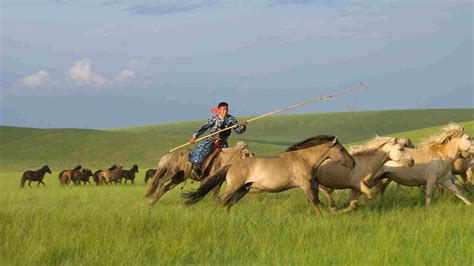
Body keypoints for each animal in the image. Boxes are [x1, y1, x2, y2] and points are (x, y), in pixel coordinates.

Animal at [183, 135, 354, 216]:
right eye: (341, 149)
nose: (353, 163)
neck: (303, 159)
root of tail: (232, 165)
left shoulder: (312, 182)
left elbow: (322, 194)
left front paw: (332, 208)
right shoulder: (305, 183)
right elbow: (314, 200)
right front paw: (323, 215)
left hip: (242, 190)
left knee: (228, 203)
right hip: (234, 187)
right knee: (220, 200)